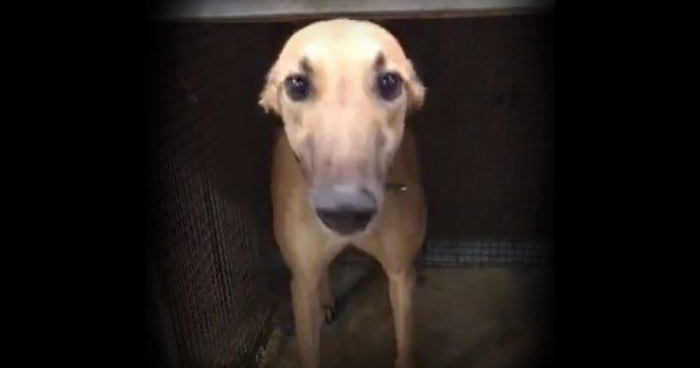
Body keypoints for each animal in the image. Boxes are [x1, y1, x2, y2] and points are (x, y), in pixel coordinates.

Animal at [260, 18, 426, 368]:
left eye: (389, 81)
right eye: (297, 84)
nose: (346, 211)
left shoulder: (402, 274)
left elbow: (405, 344)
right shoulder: (301, 281)